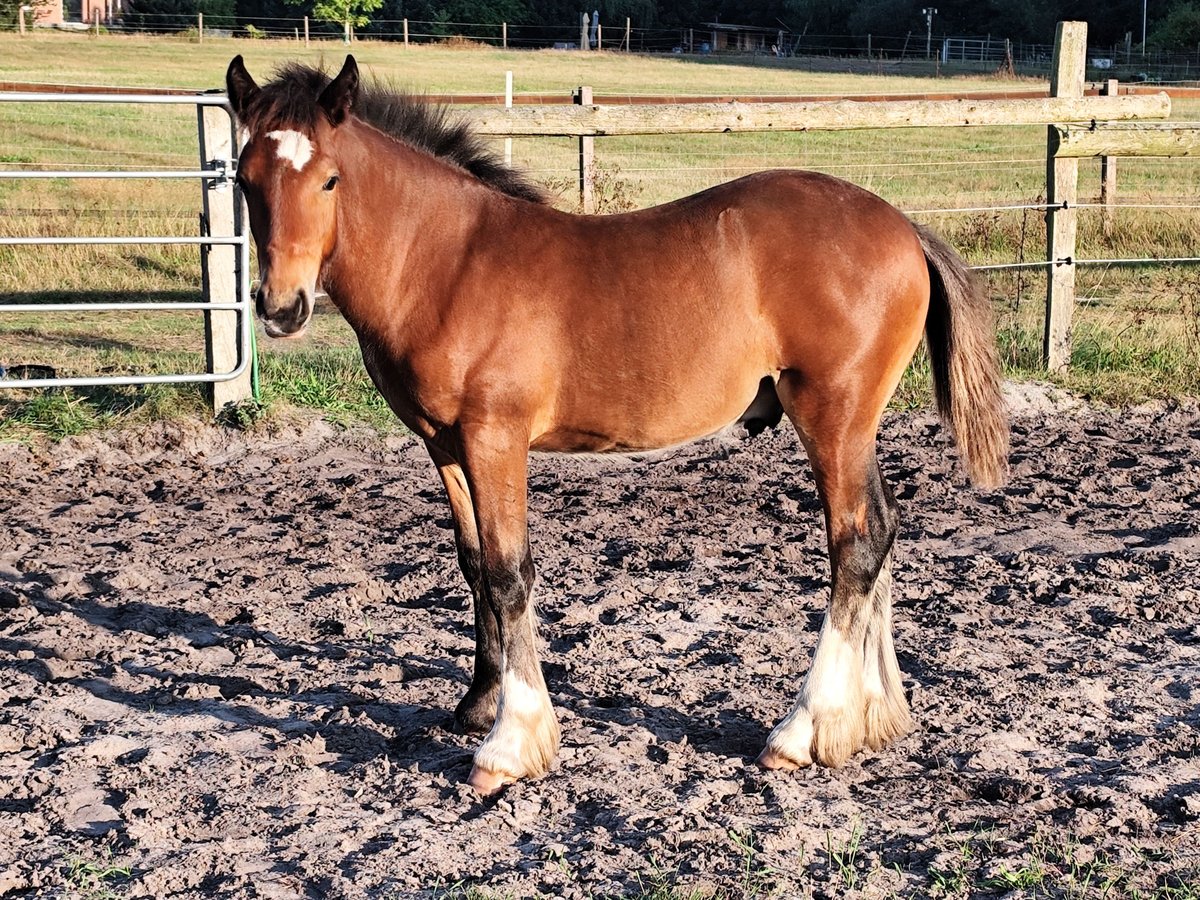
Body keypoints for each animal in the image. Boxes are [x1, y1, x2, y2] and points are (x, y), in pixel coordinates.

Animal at [226, 54, 1012, 796]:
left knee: (854, 543)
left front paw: (511, 744)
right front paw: (477, 705)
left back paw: (801, 731)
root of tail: (903, 227)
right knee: (882, 528)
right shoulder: (444, 445)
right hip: (854, 426)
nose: (282, 307)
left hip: (832, 417)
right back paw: (870, 720)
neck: (446, 263)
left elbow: (509, 573)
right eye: (243, 179)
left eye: (329, 181)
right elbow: (475, 565)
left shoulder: (494, 439)